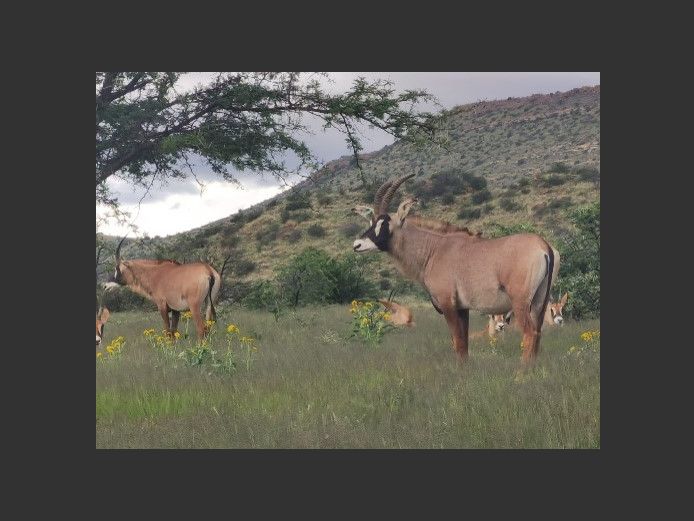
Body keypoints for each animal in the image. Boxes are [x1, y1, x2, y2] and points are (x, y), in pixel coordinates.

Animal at [350, 173, 556, 364]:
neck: (434, 249)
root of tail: (544, 247)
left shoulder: (448, 304)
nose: (357, 245)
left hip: (520, 303)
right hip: (540, 303)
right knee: (537, 334)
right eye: (371, 221)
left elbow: (457, 342)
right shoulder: (463, 308)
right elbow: (464, 345)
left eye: (384, 223)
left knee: (530, 333)